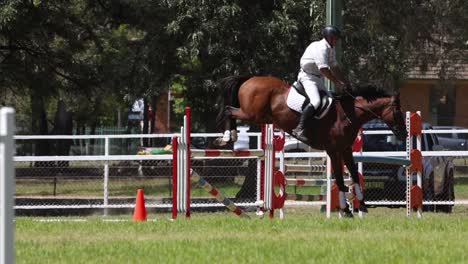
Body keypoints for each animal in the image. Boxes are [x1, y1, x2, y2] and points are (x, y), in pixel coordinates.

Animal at [214, 75, 408, 217]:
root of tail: (249, 79)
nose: (404, 134)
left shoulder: (345, 149)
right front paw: (346, 210)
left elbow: (353, 174)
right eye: (398, 112)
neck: (348, 114)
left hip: (259, 116)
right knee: (229, 110)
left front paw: (361, 204)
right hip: (252, 114)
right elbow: (339, 178)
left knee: (231, 110)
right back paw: (227, 136)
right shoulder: (334, 150)